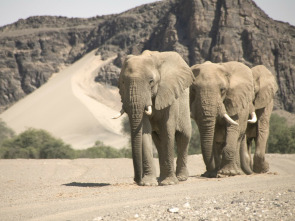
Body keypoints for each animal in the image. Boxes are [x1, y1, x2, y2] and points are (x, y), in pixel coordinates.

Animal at [114, 49, 195, 185]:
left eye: (151, 81)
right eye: (123, 82)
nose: (136, 180)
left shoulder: (169, 92)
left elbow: (168, 128)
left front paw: (169, 183)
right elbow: (144, 130)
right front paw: (148, 183)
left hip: (184, 101)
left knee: (184, 135)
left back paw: (181, 178)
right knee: (158, 139)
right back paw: (161, 178)